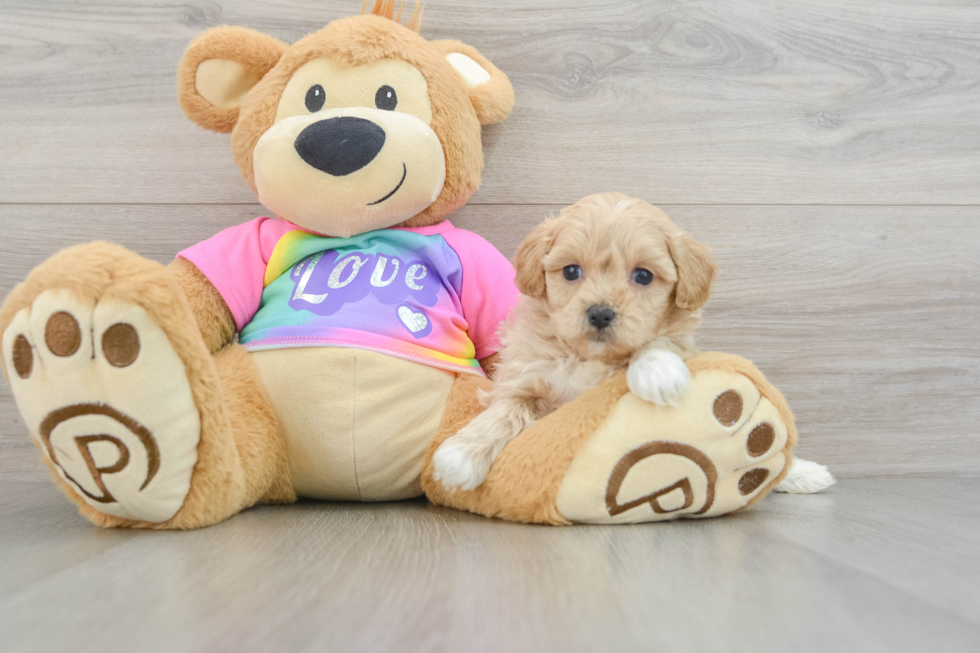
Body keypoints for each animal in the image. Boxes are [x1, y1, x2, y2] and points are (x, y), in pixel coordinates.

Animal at [432, 192, 716, 488]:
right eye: (571, 271)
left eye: (643, 275)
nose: (600, 314)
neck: (585, 356)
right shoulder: (525, 378)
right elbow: (507, 409)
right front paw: (461, 455)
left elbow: (663, 339)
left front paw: (658, 373)